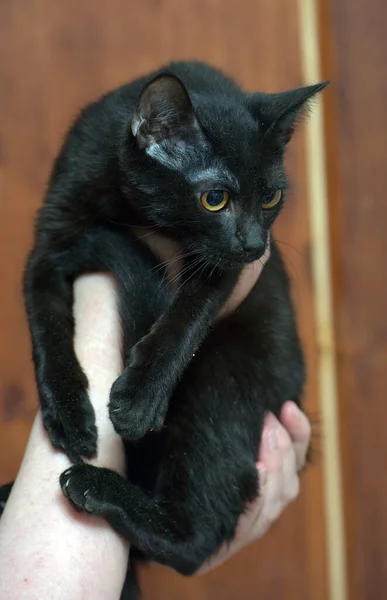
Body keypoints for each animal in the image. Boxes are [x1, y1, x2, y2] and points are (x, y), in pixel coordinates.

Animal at [3, 63, 328, 596]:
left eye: (271, 197)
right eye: (215, 199)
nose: (255, 245)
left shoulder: (223, 269)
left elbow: (186, 318)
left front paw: (140, 398)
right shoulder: (49, 244)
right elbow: (47, 331)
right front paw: (68, 414)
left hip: (221, 387)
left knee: (191, 543)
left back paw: (96, 487)